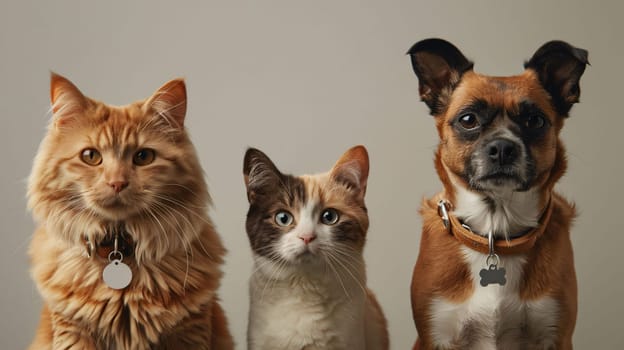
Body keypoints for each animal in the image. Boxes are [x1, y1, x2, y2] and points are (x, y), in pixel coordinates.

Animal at [25, 73, 233, 348]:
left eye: (143, 157)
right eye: (90, 156)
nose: (117, 183)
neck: (118, 249)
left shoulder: (190, 330)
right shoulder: (72, 331)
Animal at [408, 39, 588, 350]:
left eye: (535, 121)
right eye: (468, 119)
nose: (503, 147)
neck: (495, 229)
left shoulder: (556, 334)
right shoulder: (435, 334)